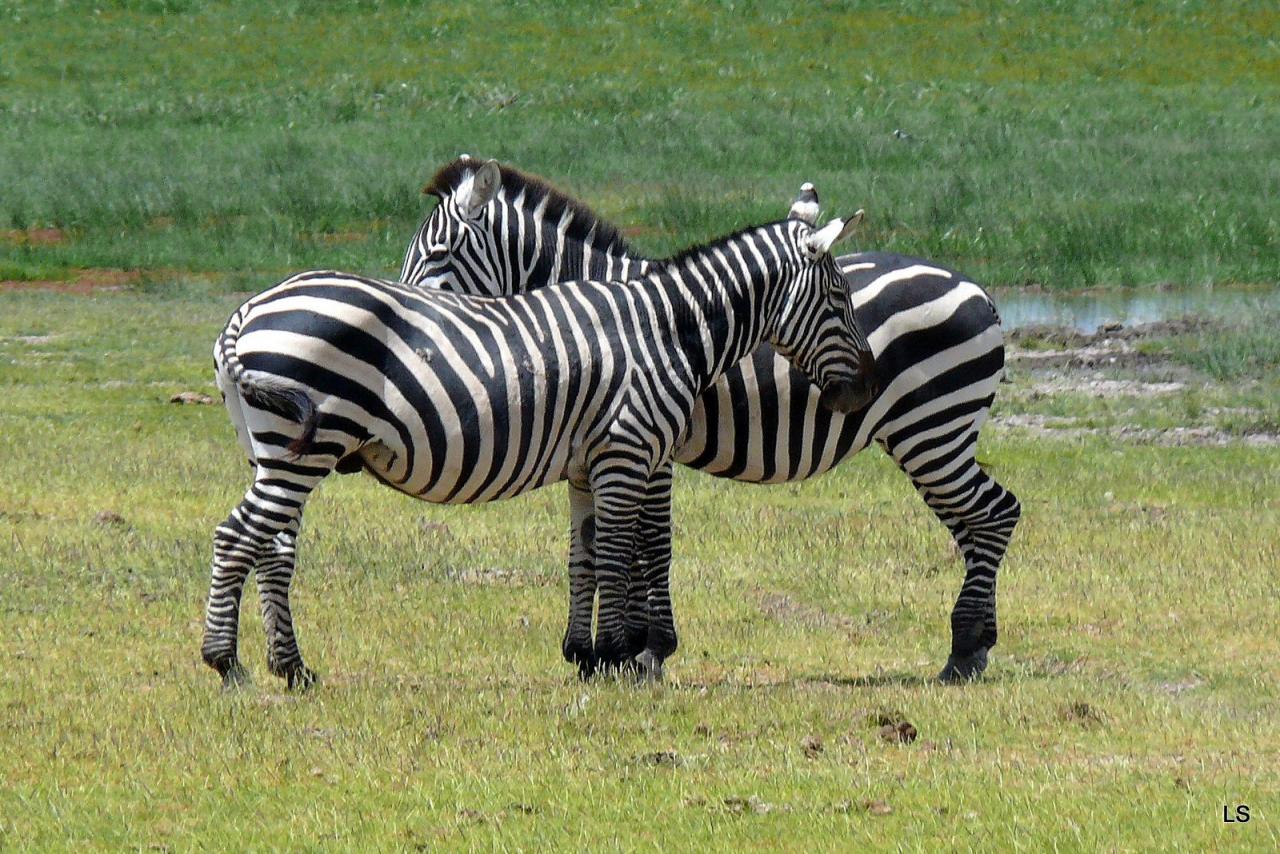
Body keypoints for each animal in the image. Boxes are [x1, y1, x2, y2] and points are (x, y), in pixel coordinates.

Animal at [204, 209, 865, 691]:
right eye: (838, 300)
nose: (865, 388)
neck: (667, 330)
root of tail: (248, 309)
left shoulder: (589, 463)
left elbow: (586, 556)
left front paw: (587, 656)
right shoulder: (627, 451)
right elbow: (621, 554)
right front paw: (621, 657)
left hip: (277, 450)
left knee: (273, 547)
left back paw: (292, 669)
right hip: (302, 450)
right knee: (237, 537)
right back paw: (225, 663)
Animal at [399, 158, 1018, 681]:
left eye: (437, 254)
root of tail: (977, 289)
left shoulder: (652, 446)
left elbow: (650, 540)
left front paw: (647, 650)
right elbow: (625, 540)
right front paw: (634, 648)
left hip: (933, 429)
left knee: (994, 513)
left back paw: (964, 652)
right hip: (930, 436)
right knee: (976, 523)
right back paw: (976, 642)